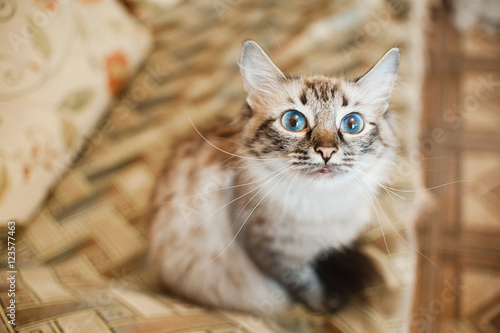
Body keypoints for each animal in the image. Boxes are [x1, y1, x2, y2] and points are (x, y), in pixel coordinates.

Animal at [147, 41, 398, 314]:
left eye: (352, 124)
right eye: (293, 121)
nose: (326, 152)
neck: (322, 204)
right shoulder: (273, 255)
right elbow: (306, 285)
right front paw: (326, 304)